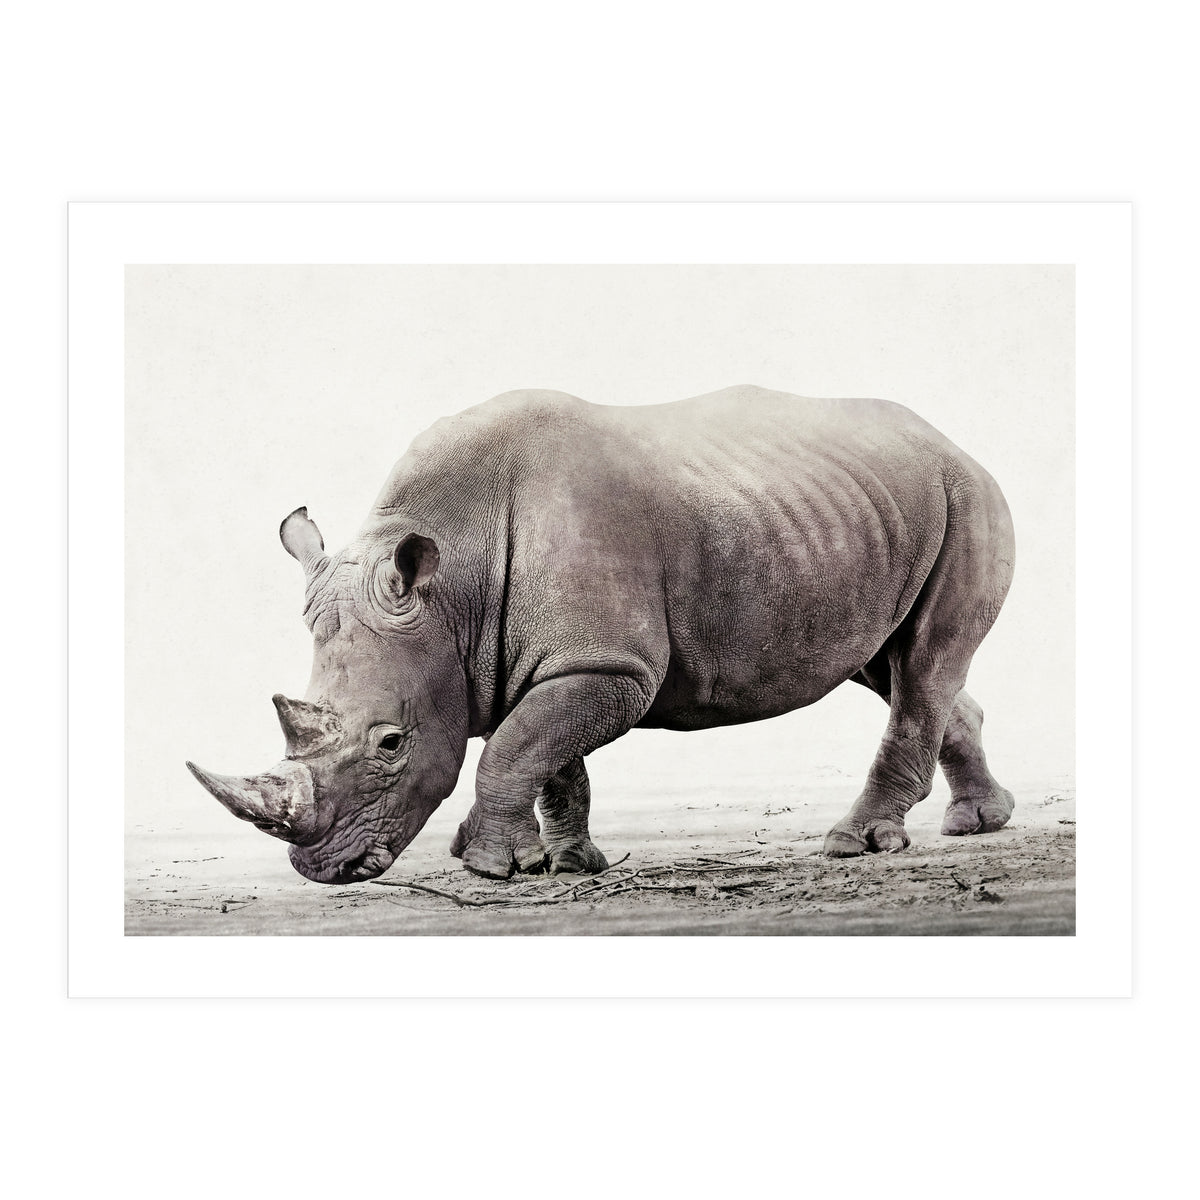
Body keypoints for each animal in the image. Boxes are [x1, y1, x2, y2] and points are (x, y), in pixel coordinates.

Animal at [187, 385, 1016, 884]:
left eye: (391, 743)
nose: (323, 869)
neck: (453, 585)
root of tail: (951, 440)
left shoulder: (609, 664)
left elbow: (517, 747)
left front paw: (488, 868)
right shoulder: (557, 659)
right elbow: (550, 755)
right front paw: (567, 863)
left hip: (967, 496)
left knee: (924, 663)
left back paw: (857, 844)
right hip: (861, 513)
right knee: (894, 666)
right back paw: (978, 823)